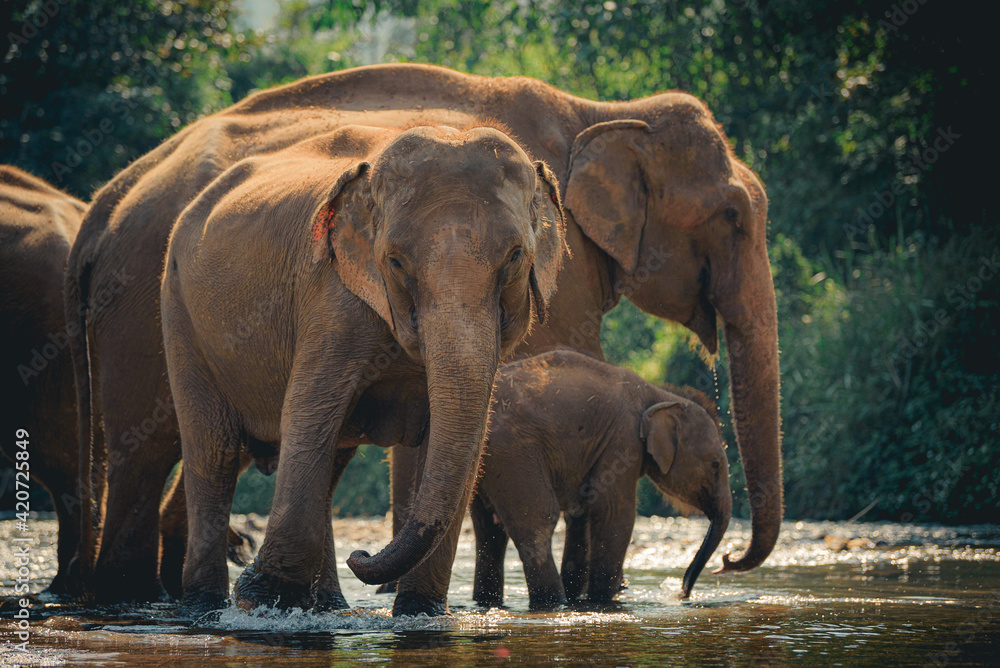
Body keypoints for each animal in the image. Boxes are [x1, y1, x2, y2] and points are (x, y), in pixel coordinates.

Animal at [158, 123, 566, 613]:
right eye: (394, 261)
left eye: (515, 257)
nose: (363, 554)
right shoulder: (330, 299)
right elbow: (307, 413)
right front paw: (264, 601)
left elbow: (465, 437)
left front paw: (420, 612)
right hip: (180, 310)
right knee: (213, 450)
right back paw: (205, 605)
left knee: (329, 460)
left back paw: (329, 605)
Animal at [470, 349, 731, 610]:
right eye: (715, 465)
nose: (682, 592)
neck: (660, 396)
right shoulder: (623, 441)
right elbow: (614, 513)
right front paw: (602, 598)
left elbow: (582, 512)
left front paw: (579, 595)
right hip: (513, 451)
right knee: (538, 519)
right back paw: (554, 603)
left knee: (488, 528)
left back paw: (488, 602)